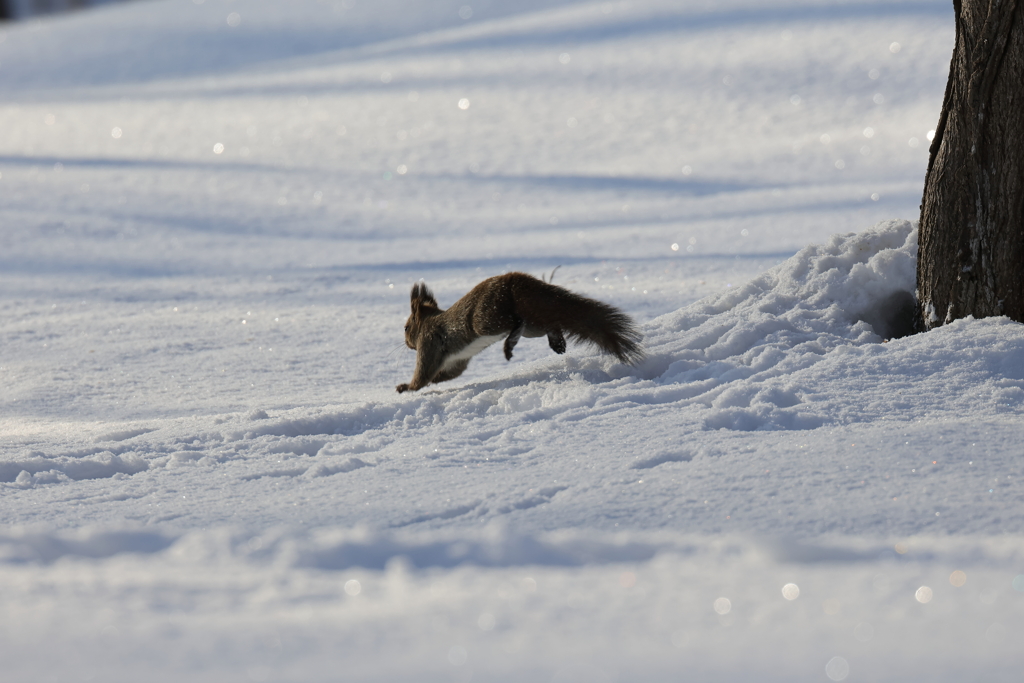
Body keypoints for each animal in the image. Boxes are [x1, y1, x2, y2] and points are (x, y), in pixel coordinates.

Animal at [395, 270, 643, 393]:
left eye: (406, 327)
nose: (406, 342)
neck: (429, 321)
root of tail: (512, 281)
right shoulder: (458, 359)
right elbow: (451, 372)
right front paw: (435, 381)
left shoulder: (429, 342)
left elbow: (424, 371)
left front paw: (406, 387)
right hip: (532, 324)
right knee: (549, 324)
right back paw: (556, 342)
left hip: (486, 319)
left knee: (516, 321)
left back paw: (510, 343)